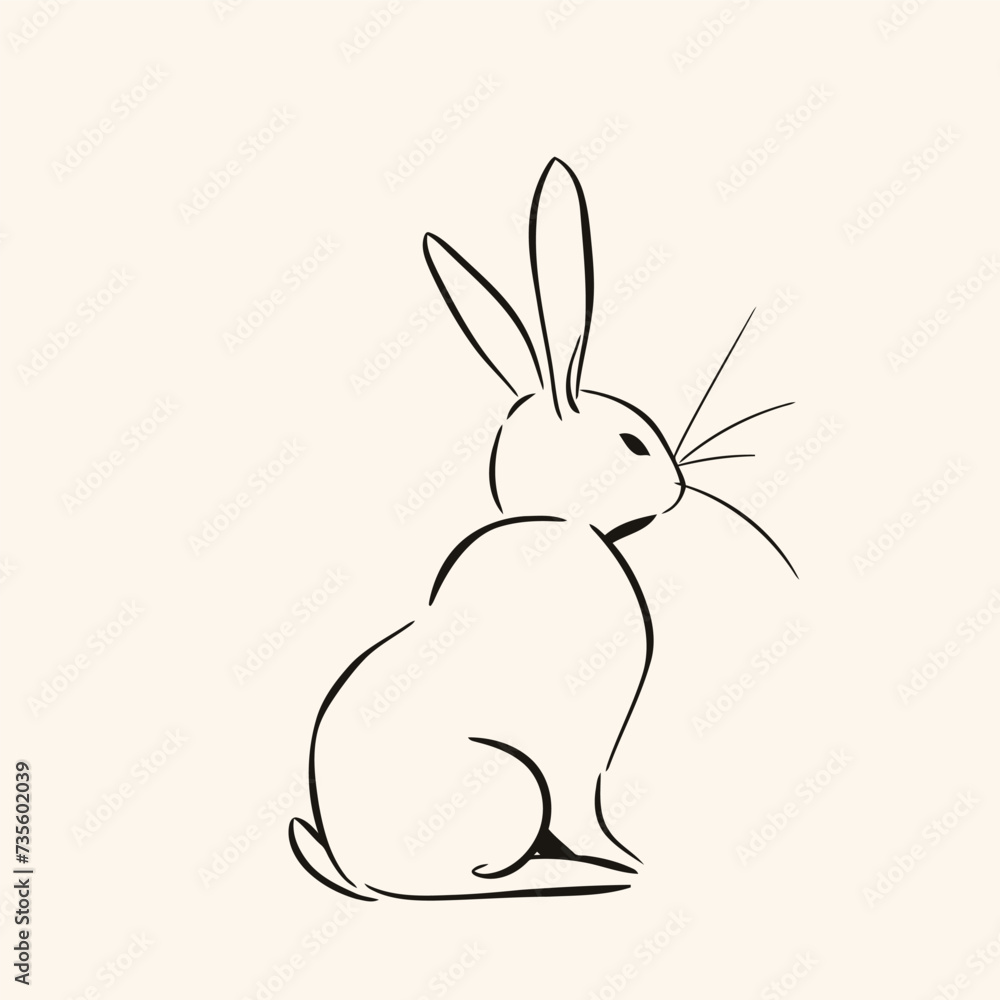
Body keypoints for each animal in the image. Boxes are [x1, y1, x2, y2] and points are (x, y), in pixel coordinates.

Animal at [290, 158, 797, 901]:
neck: (562, 519)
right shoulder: (577, 753)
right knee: (468, 879)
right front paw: (625, 860)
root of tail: (357, 873)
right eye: (633, 443)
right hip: (511, 783)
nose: (676, 486)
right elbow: (586, 812)